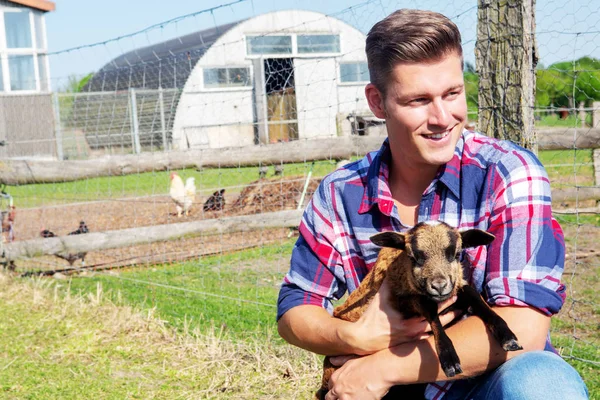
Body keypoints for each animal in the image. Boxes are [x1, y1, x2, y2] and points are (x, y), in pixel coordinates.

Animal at [318, 222, 520, 400]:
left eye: (456, 254)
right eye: (413, 257)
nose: (439, 286)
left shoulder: (458, 290)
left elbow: (476, 297)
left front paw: (508, 338)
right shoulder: (407, 300)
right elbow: (430, 311)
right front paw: (450, 360)